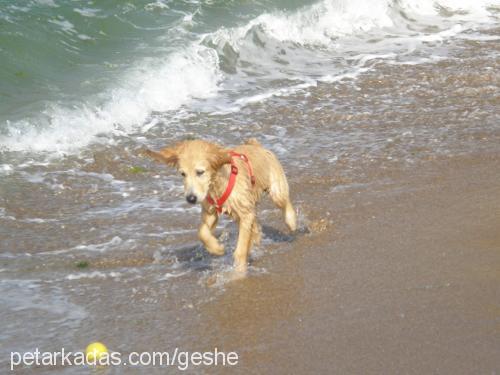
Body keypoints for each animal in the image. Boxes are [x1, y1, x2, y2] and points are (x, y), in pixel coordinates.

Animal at [147, 138, 296, 274]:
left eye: (200, 172)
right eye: (183, 174)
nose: (190, 198)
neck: (215, 185)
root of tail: (256, 145)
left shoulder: (245, 213)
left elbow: (241, 247)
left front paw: (239, 269)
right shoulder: (210, 212)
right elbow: (202, 232)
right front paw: (216, 248)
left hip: (276, 191)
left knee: (285, 203)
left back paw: (292, 222)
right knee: (255, 227)